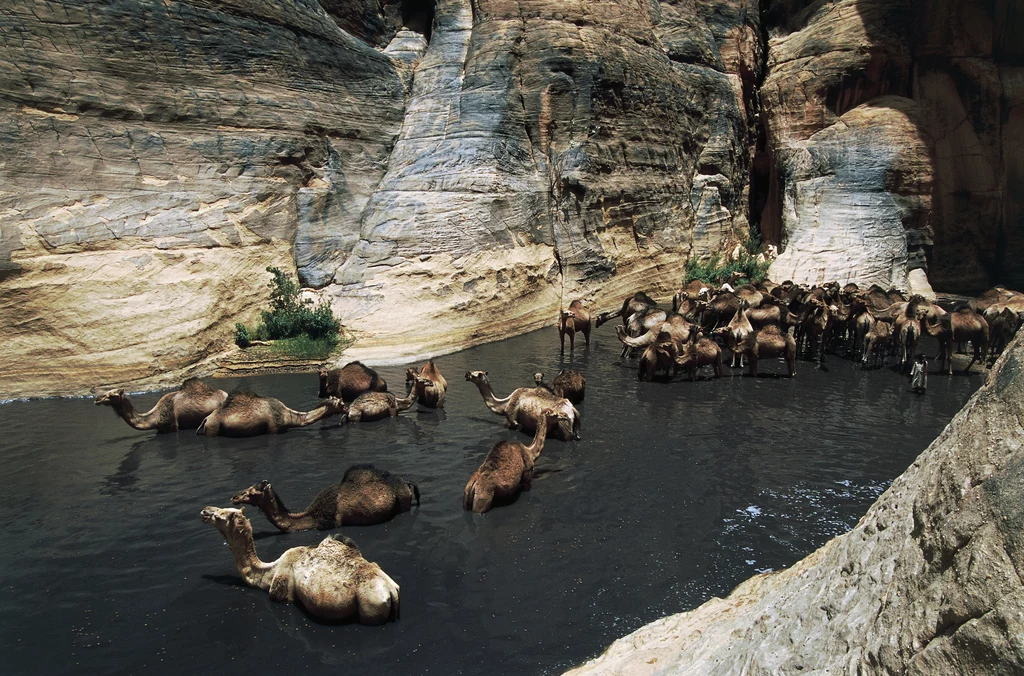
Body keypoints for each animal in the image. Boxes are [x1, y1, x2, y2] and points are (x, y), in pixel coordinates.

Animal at [94, 374, 228, 432]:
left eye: (113, 395)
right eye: (106, 392)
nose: (97, 399)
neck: (154, 417)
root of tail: (225, 394)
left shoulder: (171, 427)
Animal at [195, 391, 348, 438]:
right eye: (341, 403)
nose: (347, 409)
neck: (287, 416)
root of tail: (206, 419)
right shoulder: (274, 429)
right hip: (213, 428)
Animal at [197, 508, 397, 622]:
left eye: (219, 516)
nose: (205, 511)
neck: (268, 573)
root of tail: (392, 591)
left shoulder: (281, 595)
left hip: (370, 606)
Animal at [232, 465, 419, 532]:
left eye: (254, 491)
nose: (234, 497)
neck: (311, 515)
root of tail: (406, 483)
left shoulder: (328, 523)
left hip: (403, 501)